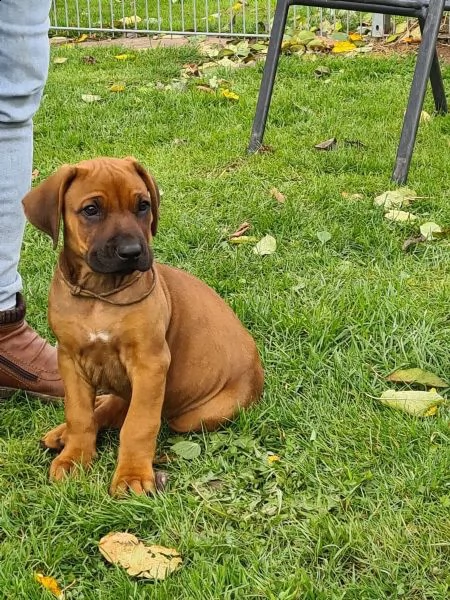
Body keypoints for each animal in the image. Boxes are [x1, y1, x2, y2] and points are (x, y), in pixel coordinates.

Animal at [23, 157, 264, 494]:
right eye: (91, 210)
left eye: (143, 206)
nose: (131, 252)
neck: (100, 294)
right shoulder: (69, 359)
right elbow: (79, 414)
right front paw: (74, 458)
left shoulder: (150, 364)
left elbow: (138, 424)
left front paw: (132, 475)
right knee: (109, 405)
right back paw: (63, 434)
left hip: (197, 415)